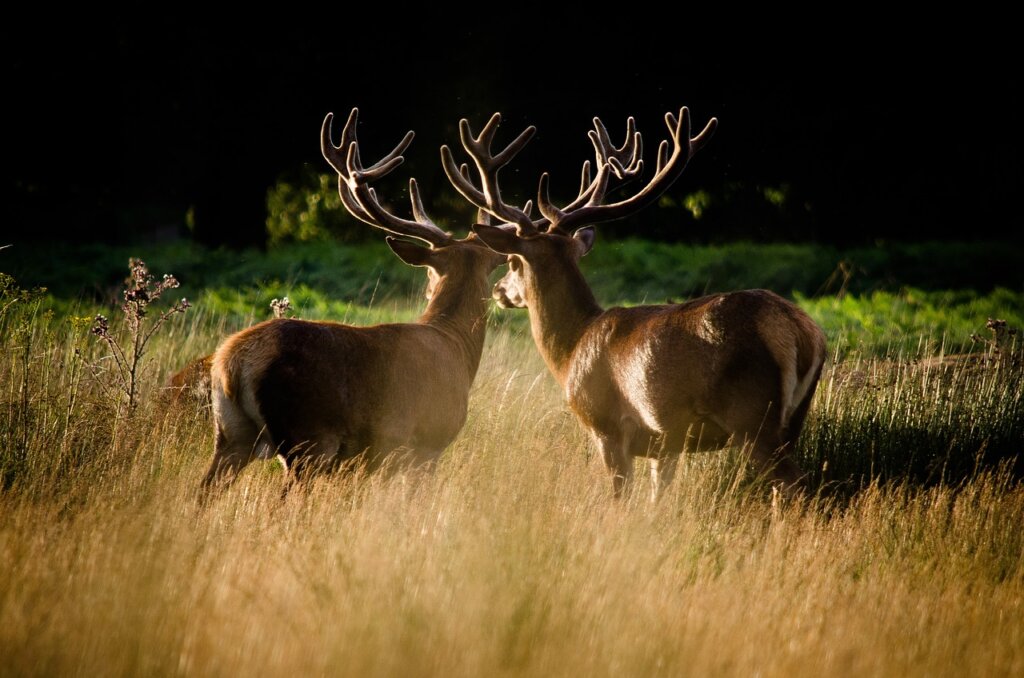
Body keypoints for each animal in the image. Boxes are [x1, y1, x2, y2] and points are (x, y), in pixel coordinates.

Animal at [199, 109, 503, 497]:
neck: (456, 344)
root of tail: (233, 364)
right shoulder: (428, 443)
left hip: (230, 433)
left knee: (203, 490)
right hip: (309, 436)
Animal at [444, 106, 827, 499]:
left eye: (512, 262)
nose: (499, 290)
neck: (572, 351)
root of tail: (800, 332)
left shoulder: (607, 427)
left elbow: (621, 495)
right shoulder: (667, 444)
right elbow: (657, 498)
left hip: (751, 413)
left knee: (797, 484)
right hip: (794, 417)